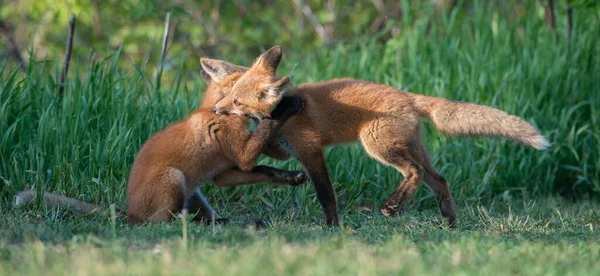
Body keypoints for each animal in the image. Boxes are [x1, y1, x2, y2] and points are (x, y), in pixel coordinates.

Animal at [14, 60, 304, 224]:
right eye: (245, 75)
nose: (271, 79)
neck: (214, 110)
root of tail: (131, 214)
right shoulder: (242, 155)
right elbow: (265, 130)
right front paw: (285, 108)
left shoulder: (225, 173)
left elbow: (265, 170)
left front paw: (290, 177)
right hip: (174, 178)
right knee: (168, 223)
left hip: (194, 193)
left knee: (207, 219)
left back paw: (233, 223)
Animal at [210, 44, 548, 226]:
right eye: (230, 95)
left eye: (237, 102)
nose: (215, 109)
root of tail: (408, 96)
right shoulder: (281, 149)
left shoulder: (310, 150)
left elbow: (326, 194)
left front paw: (332, 227)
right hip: (412, 148)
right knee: (439, 180)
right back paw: (451, 226)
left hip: (378, 146)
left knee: (413, 173)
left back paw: (392, 207)